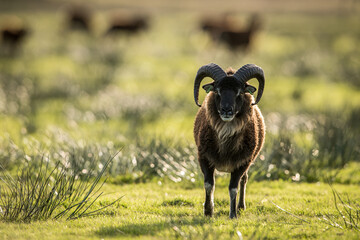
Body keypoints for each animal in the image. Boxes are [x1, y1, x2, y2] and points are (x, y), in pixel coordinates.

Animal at [193, 62, 266, 218]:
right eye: (217, 91)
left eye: (239, 92)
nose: (226, 110)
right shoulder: (204, 158)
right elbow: (209, 185)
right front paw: (208, 211)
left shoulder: (242, 162)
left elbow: (233, 188)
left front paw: (233, 214)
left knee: (244, 180)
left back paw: (241, 207)